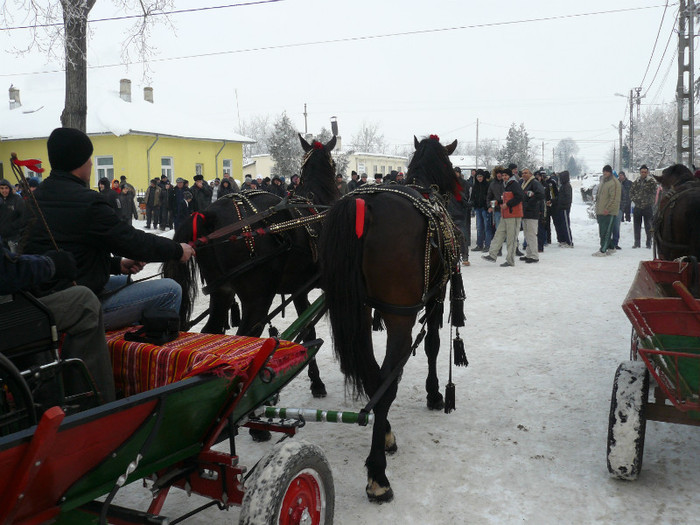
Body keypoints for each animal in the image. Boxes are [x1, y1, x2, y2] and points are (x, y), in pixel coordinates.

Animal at [164, 133, 340, 396]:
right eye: (334, 164)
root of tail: (209, 214)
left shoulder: (299, 290)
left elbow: (308, 329)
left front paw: (316, 381)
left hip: (221, 291)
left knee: (213, 333)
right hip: (257, 298)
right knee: (246, 340)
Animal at [322, 134, 464, 500]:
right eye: (449, 164)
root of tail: (364, 207)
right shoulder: (435, 297)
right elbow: (432, 345)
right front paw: (434, 393)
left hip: (358, 312)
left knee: (374, 376)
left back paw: (384, 435)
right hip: (401, 318)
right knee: (385, 380)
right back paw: (378, 475)